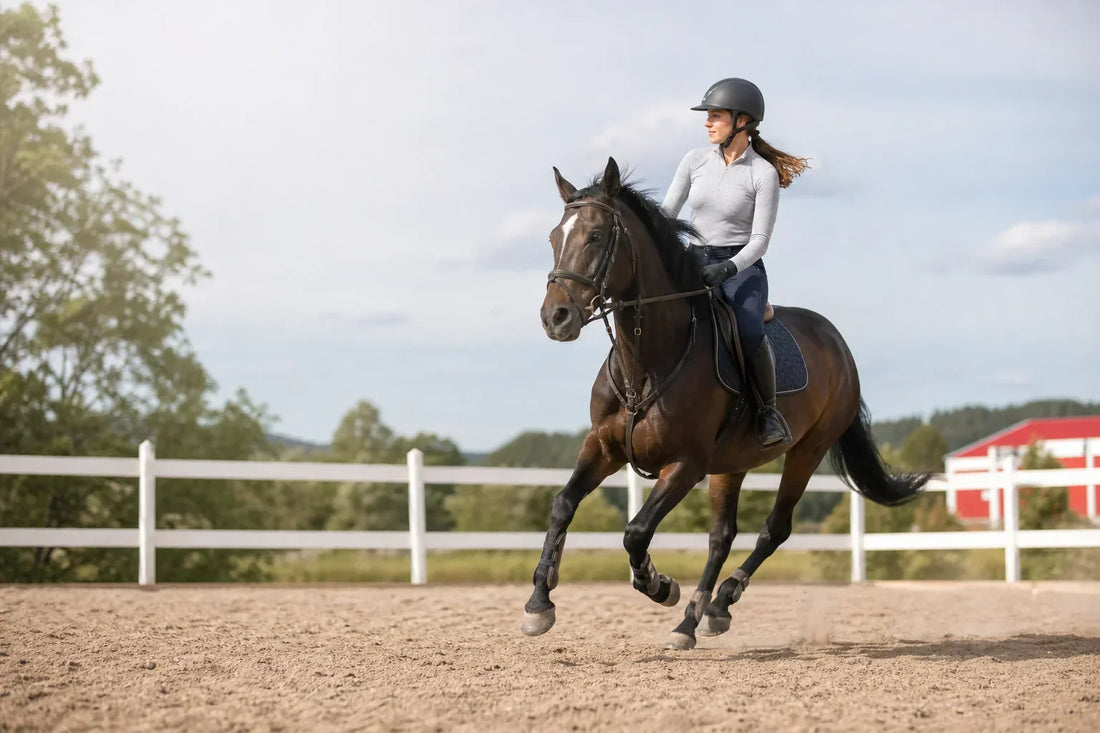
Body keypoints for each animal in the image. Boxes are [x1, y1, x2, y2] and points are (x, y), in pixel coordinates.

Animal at [521, 157, 928, 650]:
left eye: (596, 236)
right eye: (553, 237)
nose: (555, 318)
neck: (647, 361)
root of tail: (837, 342)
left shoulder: (686, 464)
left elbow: (636, 532)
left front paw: (659, 585)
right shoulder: (603, 447)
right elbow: (563, 504)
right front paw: (540, 602)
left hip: (806, 451)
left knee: (774, 529)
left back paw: (717, 603)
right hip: (731, 464)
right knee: (722, 537)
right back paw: (695, 620)